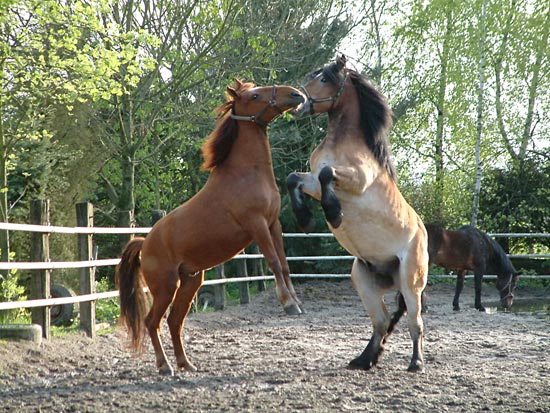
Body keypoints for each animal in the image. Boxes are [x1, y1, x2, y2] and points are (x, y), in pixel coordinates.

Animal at [117, 79, 306, 374]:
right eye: (254, 95)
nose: (295, 94)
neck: (245, 175)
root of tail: (145, 242)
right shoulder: (257, 225)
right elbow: (274, 262)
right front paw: (288, 304)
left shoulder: (273, 224)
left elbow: (285, 265)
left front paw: (295, 301)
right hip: (166, 287)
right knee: (152, 321)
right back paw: (165, 366)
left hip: (190, 282)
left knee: (174, 321)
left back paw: (185, 363)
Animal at [288, 54, 432, 370]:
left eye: (324, 78)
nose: (298, 103)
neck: (342, 144)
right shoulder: (311, 182)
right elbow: (294, 178)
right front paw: (306, 220)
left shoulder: (355, 180)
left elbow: (327, 174)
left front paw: (333, 214)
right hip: (363, 279)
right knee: (381, 322)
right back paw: (364, 360)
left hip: (410, 283)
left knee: (414, 323)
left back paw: (416, 362)